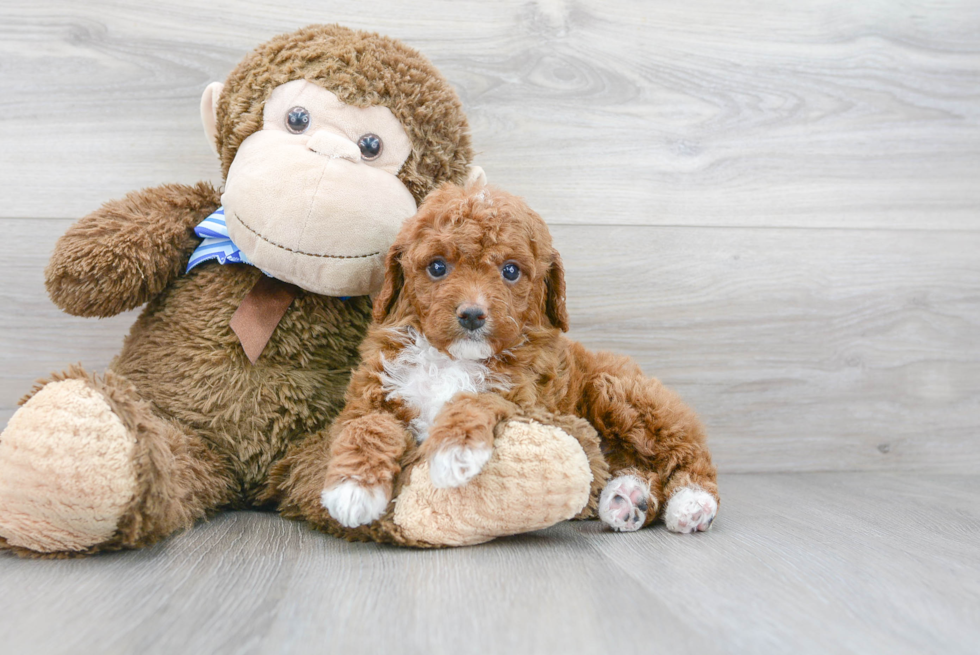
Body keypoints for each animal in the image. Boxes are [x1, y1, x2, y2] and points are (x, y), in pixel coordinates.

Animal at [324, 183, 720, 532]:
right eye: (437, 267)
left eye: (511, 271)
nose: (472, 315)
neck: (453, 359)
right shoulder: (374, 391)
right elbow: (366, 426)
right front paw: (351, 487)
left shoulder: (528, 402)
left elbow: (475, 398)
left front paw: (454, 450)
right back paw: (626, 498)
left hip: (620, 394)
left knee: (687, 453)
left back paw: (692, 502)